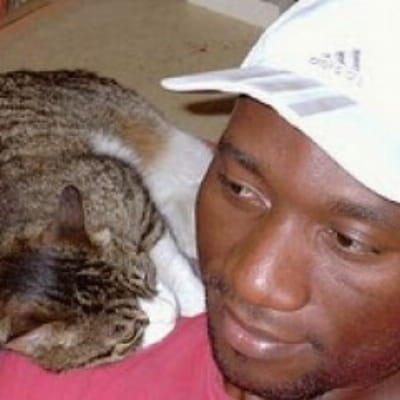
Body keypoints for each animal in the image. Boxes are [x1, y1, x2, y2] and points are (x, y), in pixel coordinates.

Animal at [0, 69, 212, 371]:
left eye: (144, 278)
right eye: (128, 334)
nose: (172, 313)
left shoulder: (130, 191)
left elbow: (164, 250)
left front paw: (193, 296)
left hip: (147, 132)